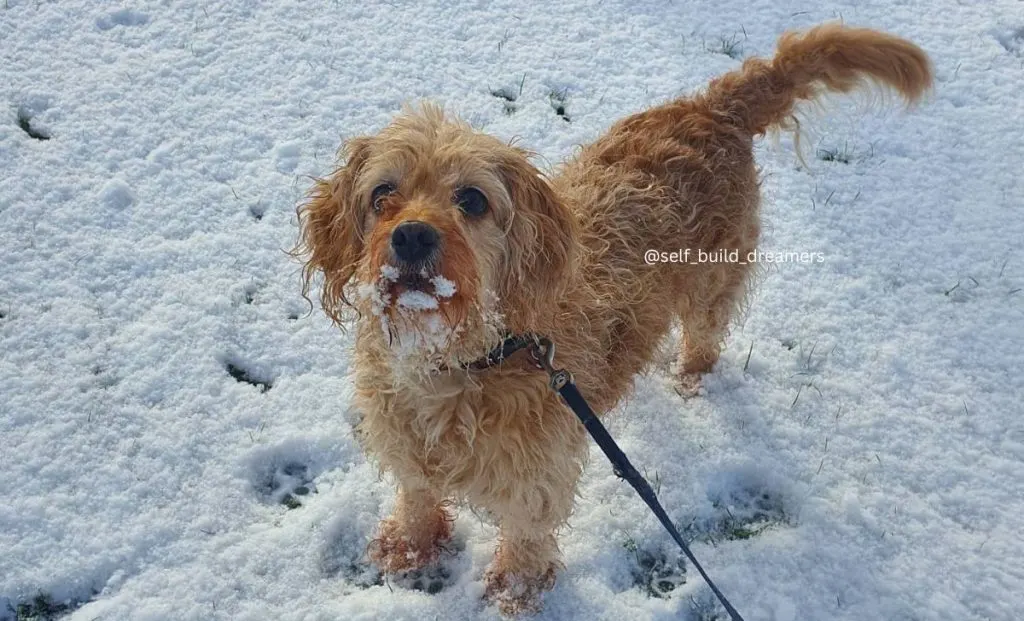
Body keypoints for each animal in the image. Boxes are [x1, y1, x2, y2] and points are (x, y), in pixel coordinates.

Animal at [294, 24, 929, 618]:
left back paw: (691, 381)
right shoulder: (406, 444)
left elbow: (527, 534)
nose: (411, 236)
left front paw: (515, 592)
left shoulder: (538, 476)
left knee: (706, 336)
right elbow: (418, 494)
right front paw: (406, 548)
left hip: (713, 283)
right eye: (382, 193)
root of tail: (713, 107)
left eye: (472, 199)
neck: (463, 358)